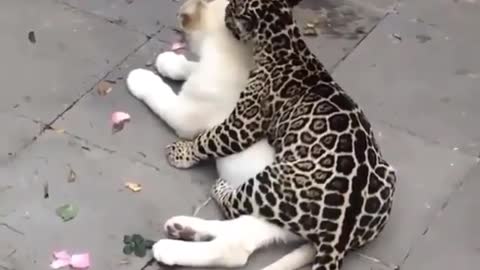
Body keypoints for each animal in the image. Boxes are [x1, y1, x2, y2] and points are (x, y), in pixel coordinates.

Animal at [161, 1, 398, 268]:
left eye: (231, 10)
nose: (226, 16)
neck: (284, 40)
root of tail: (340, 235)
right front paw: (169, 62)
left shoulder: (242, 122)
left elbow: (208, 137)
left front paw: (180, 152)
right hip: (387, 177)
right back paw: (183, 228)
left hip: (271, 183)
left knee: (237, 224)